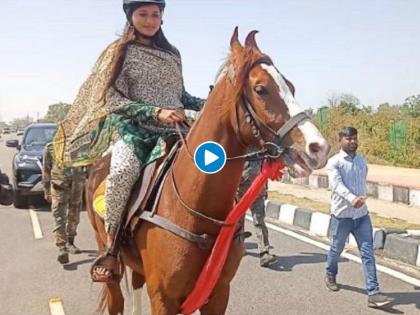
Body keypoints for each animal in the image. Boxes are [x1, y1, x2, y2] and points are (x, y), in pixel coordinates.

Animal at [86, 28, 332, 314]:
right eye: (261, 89)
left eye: (291, 87)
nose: (318, 148)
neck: (197, 210)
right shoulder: (163, 297)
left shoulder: (218, 293)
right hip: (107, 256)